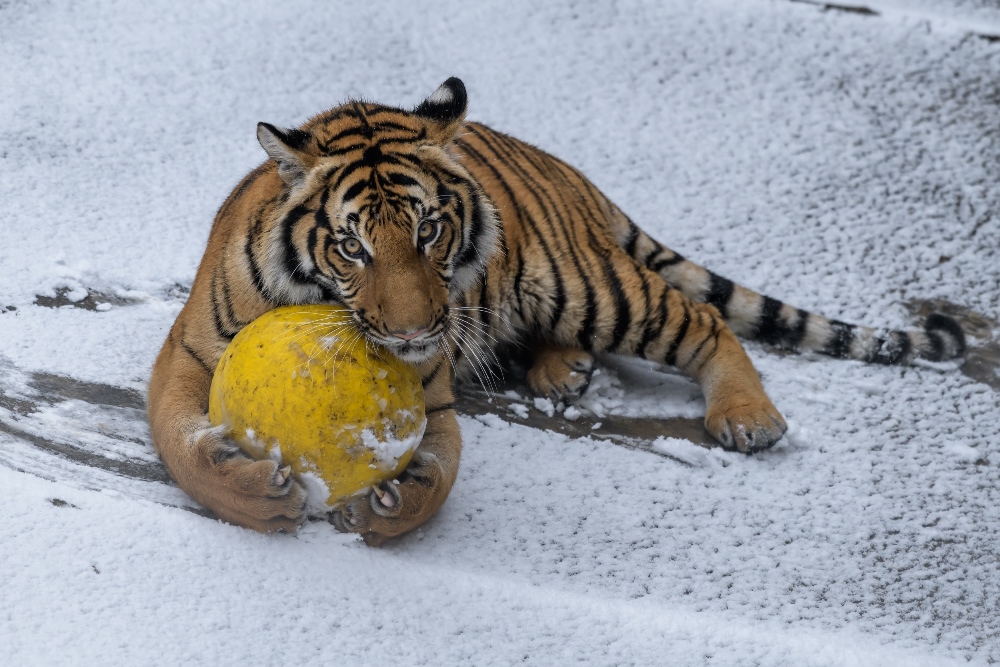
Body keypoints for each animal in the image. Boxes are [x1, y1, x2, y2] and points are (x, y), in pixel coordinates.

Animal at [145, 79, 964, 548]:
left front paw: (391, 511)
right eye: (352, 247)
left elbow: (441, 473)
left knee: (706, 321)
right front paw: (258, 497)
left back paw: (746, 416)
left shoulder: (434, 396)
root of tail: (567, 171)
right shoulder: (185, 358)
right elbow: (187, 448)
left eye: (428, 231)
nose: (413, 332)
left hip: (589, 285)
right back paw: (560, 370)